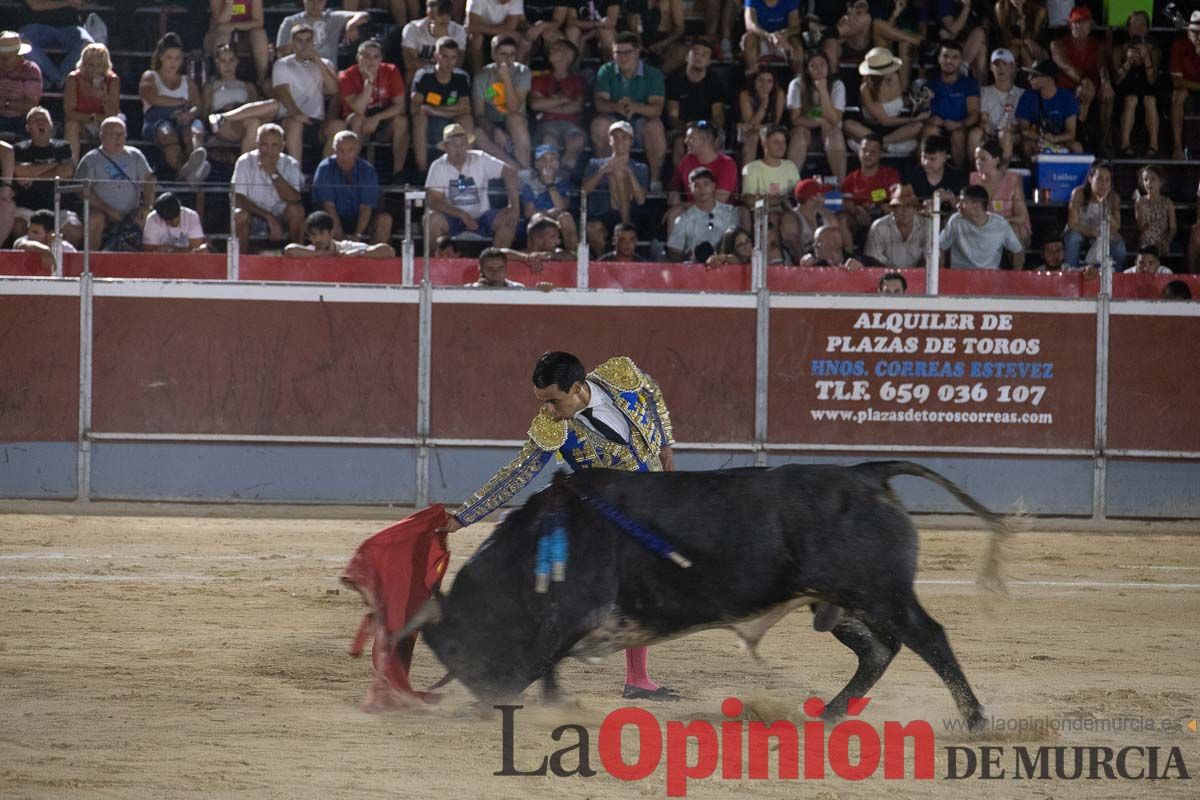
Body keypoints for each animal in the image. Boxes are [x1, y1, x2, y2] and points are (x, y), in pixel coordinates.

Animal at [398, 462, 1008, 734]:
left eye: (458, 648)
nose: (483, 696)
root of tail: (864, 474)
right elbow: (550, 663)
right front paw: (553, 702)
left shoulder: (571, 613)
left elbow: (541, 657)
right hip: (834, 600)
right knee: (878, 650)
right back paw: (827, 715)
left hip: (881, 591)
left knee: (927, 637)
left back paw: (975, 719)